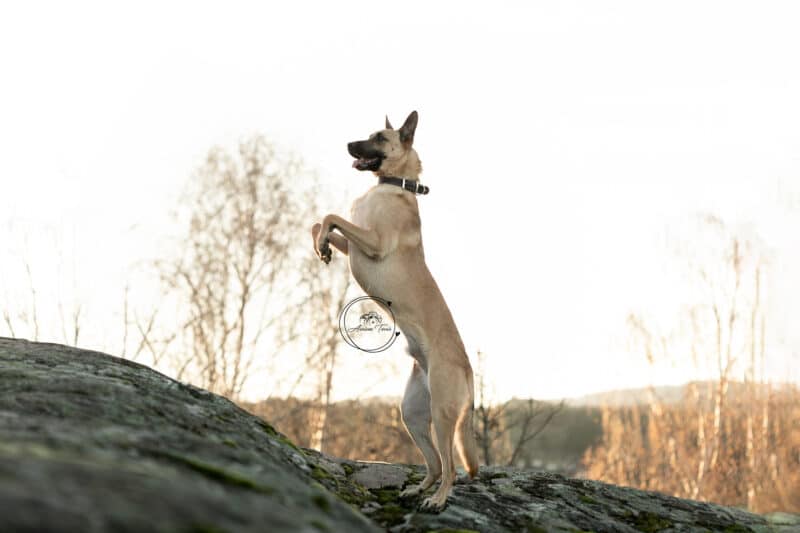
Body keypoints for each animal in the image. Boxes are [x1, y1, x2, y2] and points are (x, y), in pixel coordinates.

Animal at [310, 109, 476, 512]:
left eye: (379, 138)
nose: (348, 144)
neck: (395, 185)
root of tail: (468, 368)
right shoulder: (355, 244)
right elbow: (321, 221)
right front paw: (321, 246)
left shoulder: (373, 242)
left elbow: (332, 214)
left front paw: (322, 242)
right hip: (413, 414)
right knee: (433, 464)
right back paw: (419, 490)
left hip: (443, 415)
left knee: (450, 467)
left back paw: (438, 499)